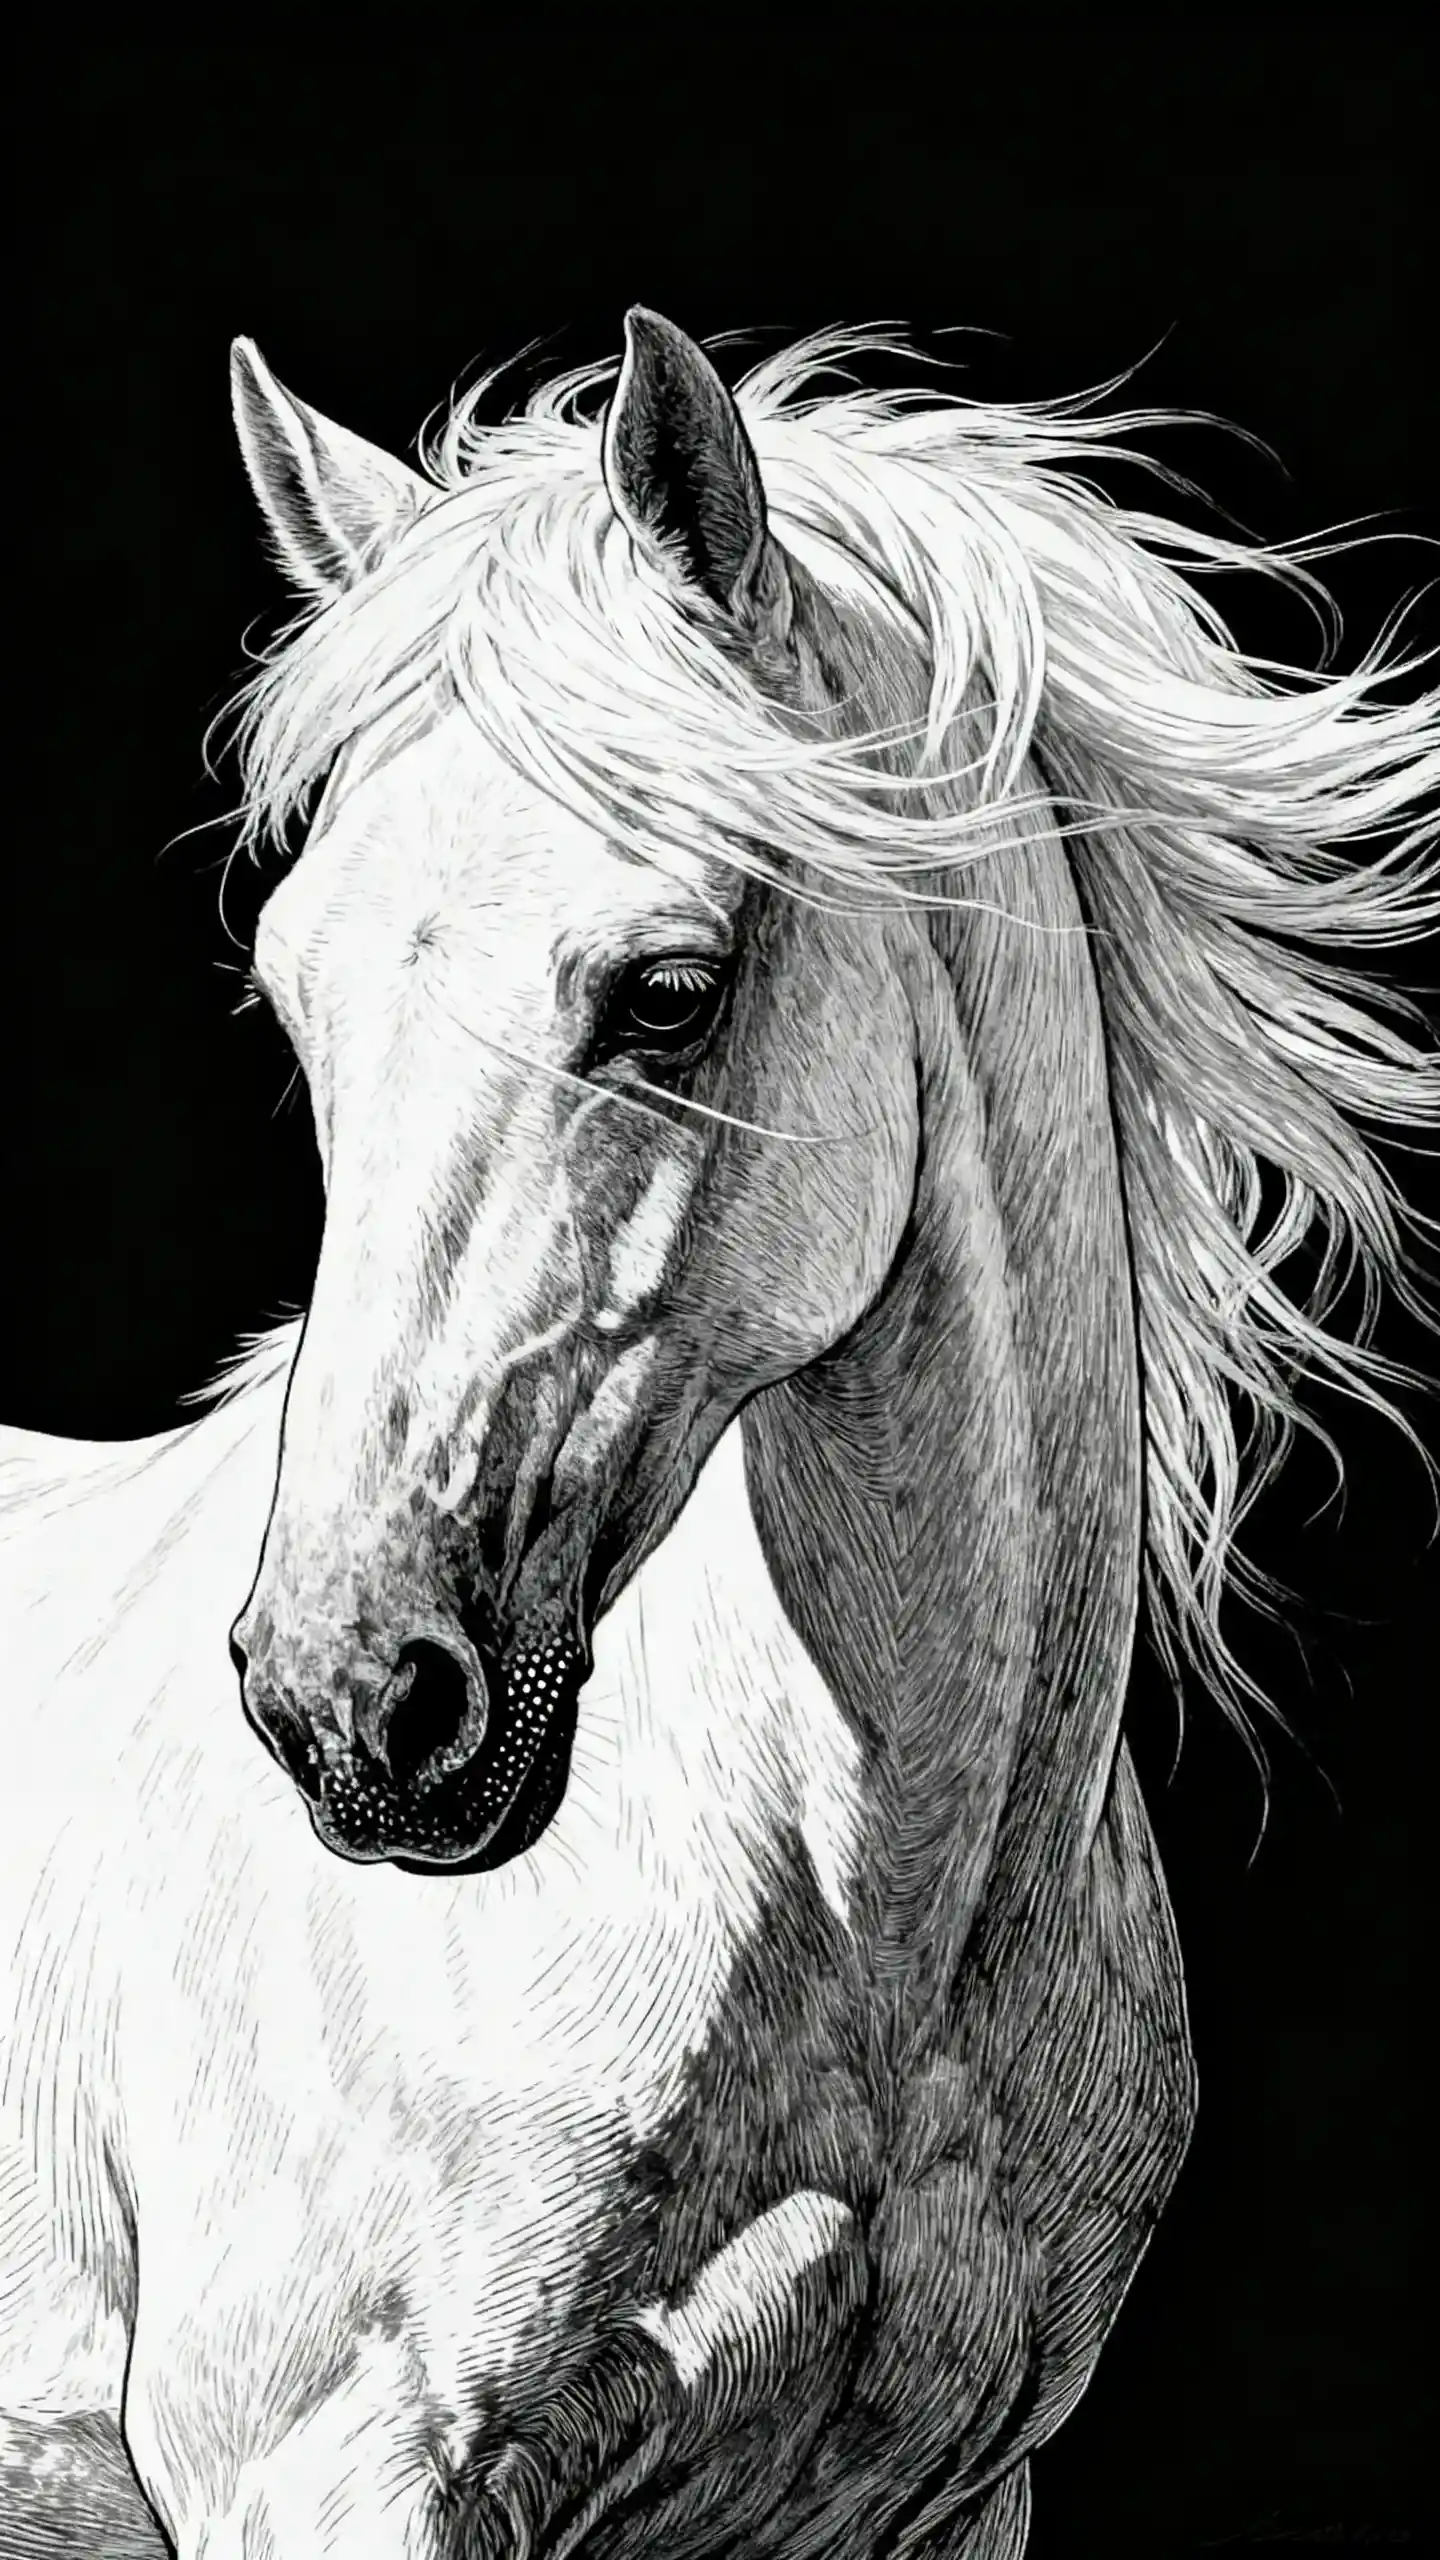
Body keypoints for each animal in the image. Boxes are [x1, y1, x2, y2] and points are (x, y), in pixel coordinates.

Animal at [2, 306, 1435, 2560]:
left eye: (668, 991)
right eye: (301, 998)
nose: (348, 1701)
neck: (866, 1937)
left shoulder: (947, 2509)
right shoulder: (329, 2480)